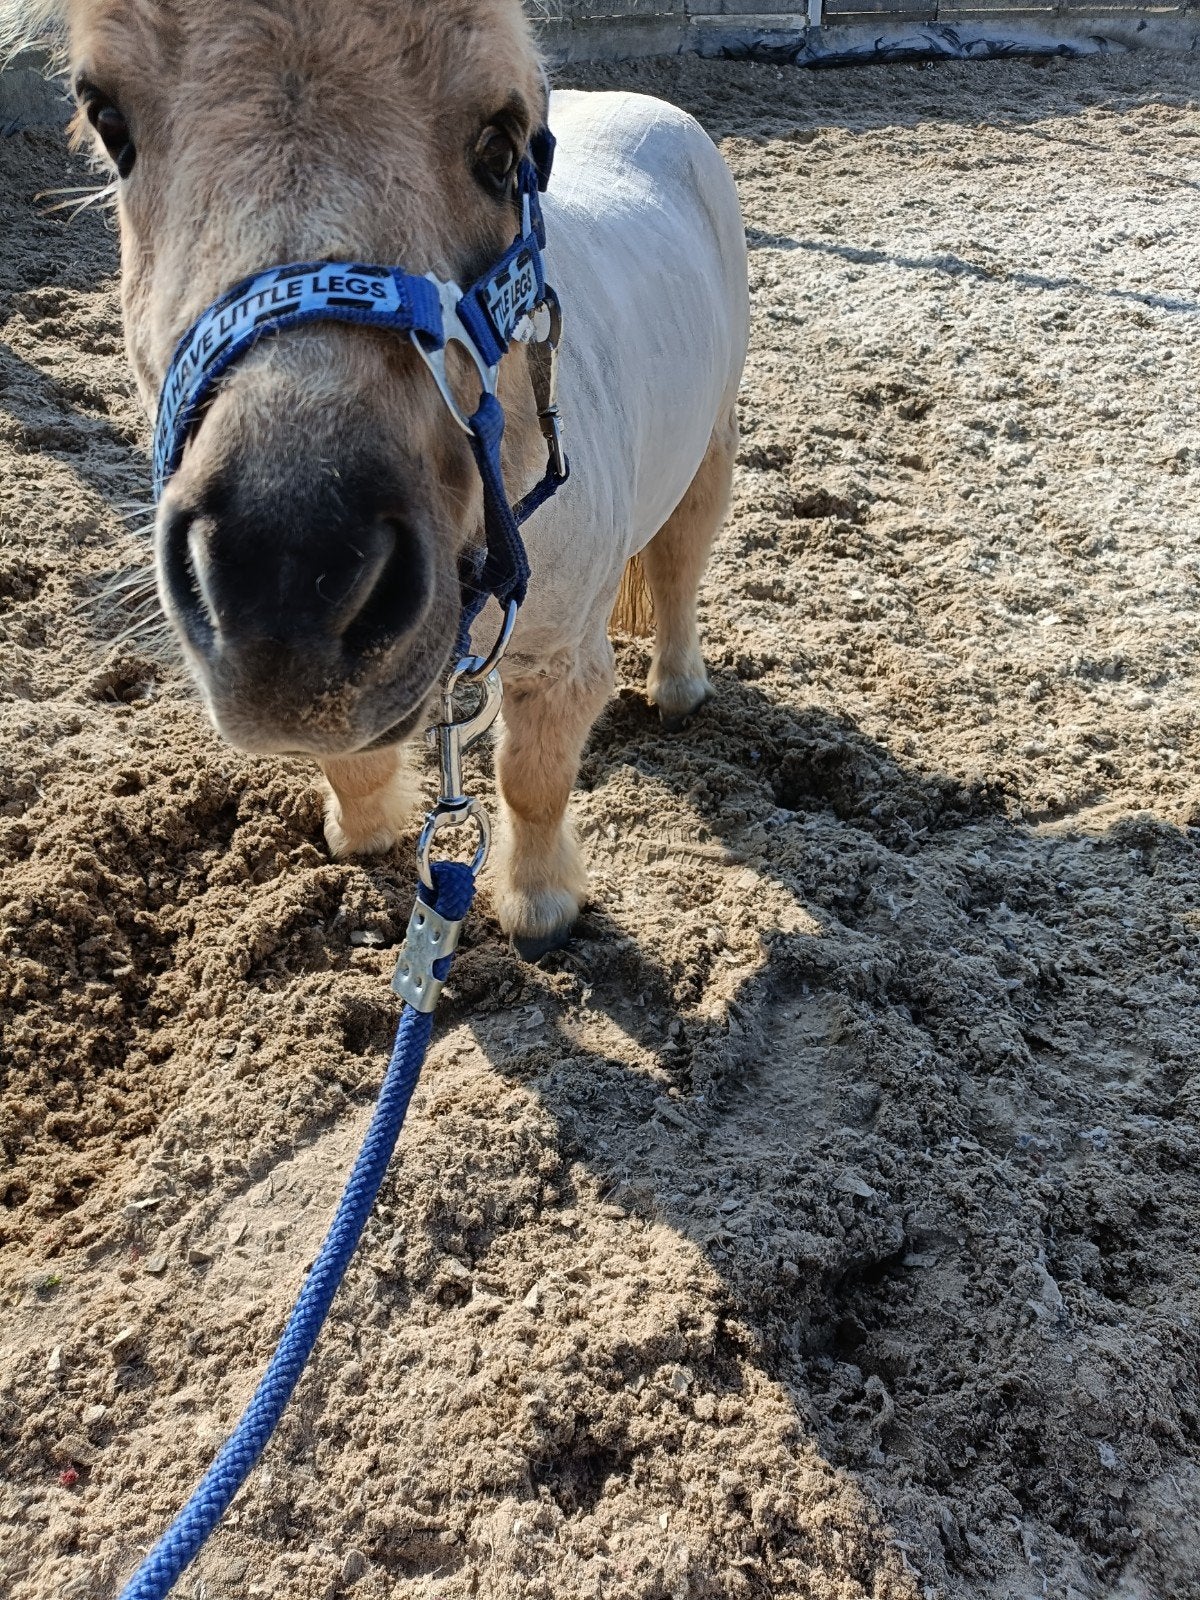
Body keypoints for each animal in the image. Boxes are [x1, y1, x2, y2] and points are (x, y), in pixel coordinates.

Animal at [5, 0, 749, 958]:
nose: (286, 582)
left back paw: (678, 689)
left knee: (680, 563)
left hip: (713, 443)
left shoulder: (560, 659)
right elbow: (349, 757)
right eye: (109, 122)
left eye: (501, 144)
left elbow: (533, 780)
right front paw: (361, 835)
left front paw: (540, 906)